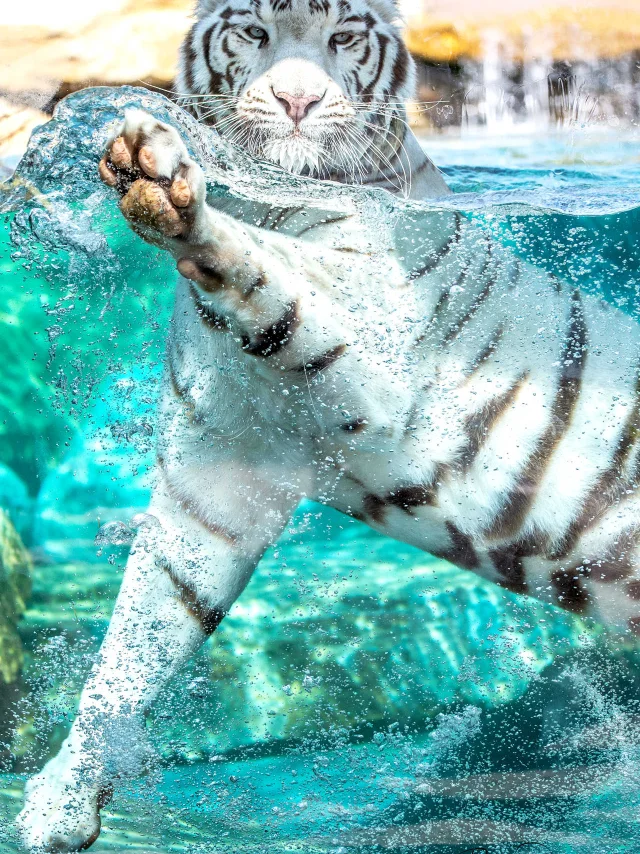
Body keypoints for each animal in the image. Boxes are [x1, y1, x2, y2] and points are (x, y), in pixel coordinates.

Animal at [15, 1, 640, 854]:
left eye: (341, 36)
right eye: (253, 32)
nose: (296, 101)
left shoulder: (376, 340)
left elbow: (278, 267)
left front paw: (165, 180)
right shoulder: (219, 465)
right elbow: (140, 633)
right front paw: (61, 799)